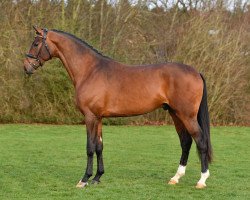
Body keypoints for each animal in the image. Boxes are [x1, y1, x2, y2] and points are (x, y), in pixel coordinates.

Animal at [23, 26, 212, 189]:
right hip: (175, 114)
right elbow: (99, 146)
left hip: (186, 115)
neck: (90, 70)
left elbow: (90, 147)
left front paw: (84, 179)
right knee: (186, 142)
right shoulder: (98, 117)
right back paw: (175, 178)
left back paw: (202, 180)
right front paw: (97, 177)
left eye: (36, 43)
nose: (26, 66)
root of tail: (195, 72)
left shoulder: (89, 117)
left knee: (200, 141)